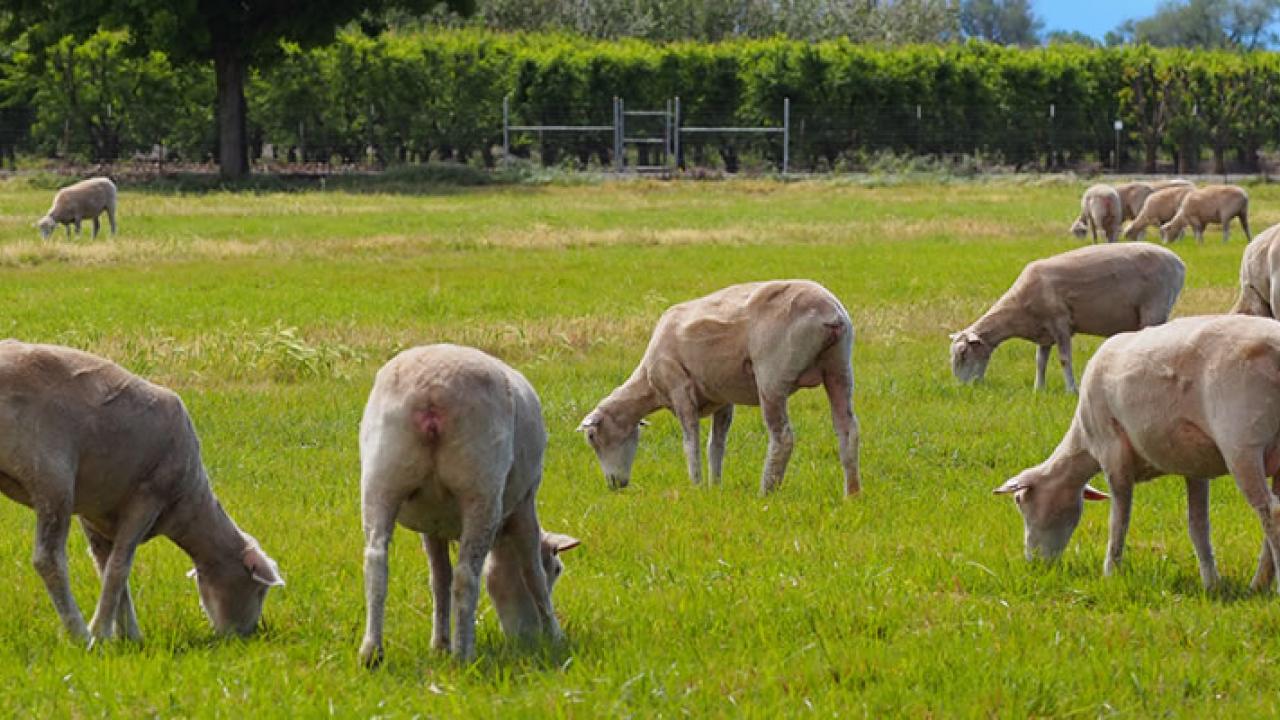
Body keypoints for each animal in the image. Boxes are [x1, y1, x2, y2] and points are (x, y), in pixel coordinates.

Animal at [0, 338, 282, 640]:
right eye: (260, 590)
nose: (247, 635)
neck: (190, 505)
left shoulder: (94, 513)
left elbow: (105, 566)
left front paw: (124, 635)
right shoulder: (147, 498)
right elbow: (118, 568)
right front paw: (101, 632)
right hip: (52, 476)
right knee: (48, 560)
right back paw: (79, 634)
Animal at [360, 340, 581, 661]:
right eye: (558, 570)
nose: (527, 638)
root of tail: (431, 390)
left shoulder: (432, 524)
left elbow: (439, 579)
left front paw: (440, 644)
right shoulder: (525, 504)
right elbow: (533, 575)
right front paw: (555, 634)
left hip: (380, 479)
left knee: (376, 560)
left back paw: (371, 652)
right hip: (481, 488)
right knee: (466, 575)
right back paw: (464, 654)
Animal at [581, 279, 860, 491]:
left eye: (592, 437)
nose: (614, 485)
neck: (648, 386)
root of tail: (830, 312)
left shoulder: (678, 387)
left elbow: (690, 442)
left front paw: (695, 486)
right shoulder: (722, 399)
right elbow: (715, 445)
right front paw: (715, 486)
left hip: (772, 376)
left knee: (782, 438)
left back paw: (766, 491)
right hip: (839, 368)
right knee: (848, 430)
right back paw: (852, 494)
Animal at [947, 240, 1182, 392]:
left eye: (963, 354)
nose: (963, 388)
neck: (1018, 311)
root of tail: (1178, 262)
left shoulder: (1060, 324)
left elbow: (1064, 359)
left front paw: (1071, 389)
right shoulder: (1043, 333)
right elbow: (1040, 361)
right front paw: (1038, 389)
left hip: (1154, 308)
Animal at [993, 312, 1280, 589]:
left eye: (1019, 500)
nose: (1035, 564)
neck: (1084, 442)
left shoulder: (1112, 451)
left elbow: (1119, 519)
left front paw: (1110, 572)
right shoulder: (1194, 464)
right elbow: (1198, 525)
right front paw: (1212, 583)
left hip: (1241, 442)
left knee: (1271, 512)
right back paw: (1259, 583)